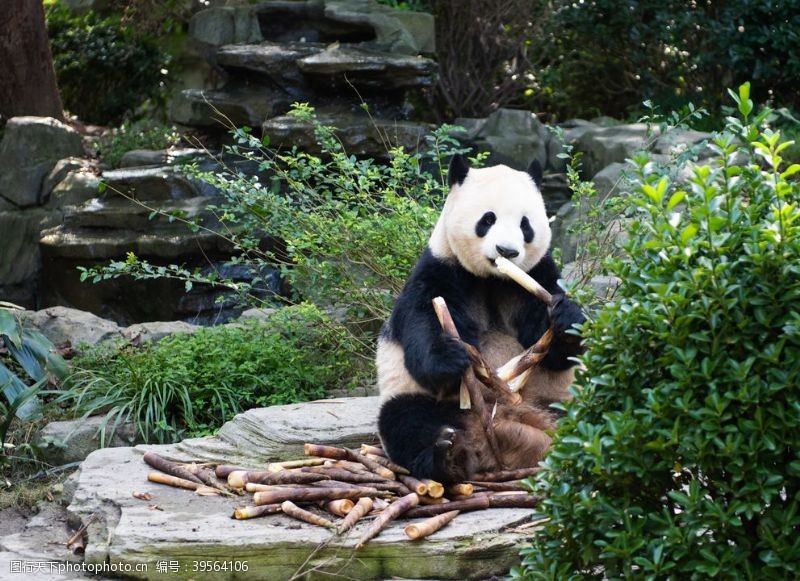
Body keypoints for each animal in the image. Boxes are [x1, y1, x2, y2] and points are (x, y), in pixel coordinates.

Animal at [378, 153, 584, 480]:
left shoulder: (537, 274)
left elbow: (553, 349)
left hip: (557, 397)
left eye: (525, 224)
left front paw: (566, 317)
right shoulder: (440, 271)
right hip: (422, 401)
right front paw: (451, 357)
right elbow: (424, 324)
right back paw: (449, 454)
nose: (507, 251)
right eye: (488, 219)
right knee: (406, 421)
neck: (494, 278)